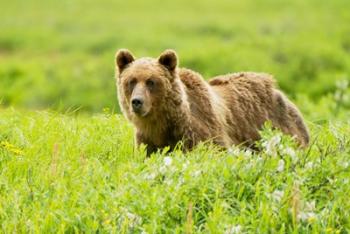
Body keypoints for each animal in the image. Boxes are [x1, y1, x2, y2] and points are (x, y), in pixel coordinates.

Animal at [115, 49, 308, 154]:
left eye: (151, 81)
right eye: (131, 81)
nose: (137, 102)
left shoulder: (200, 130)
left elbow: (214, 150)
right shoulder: (147, 139)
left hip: (278, 128)